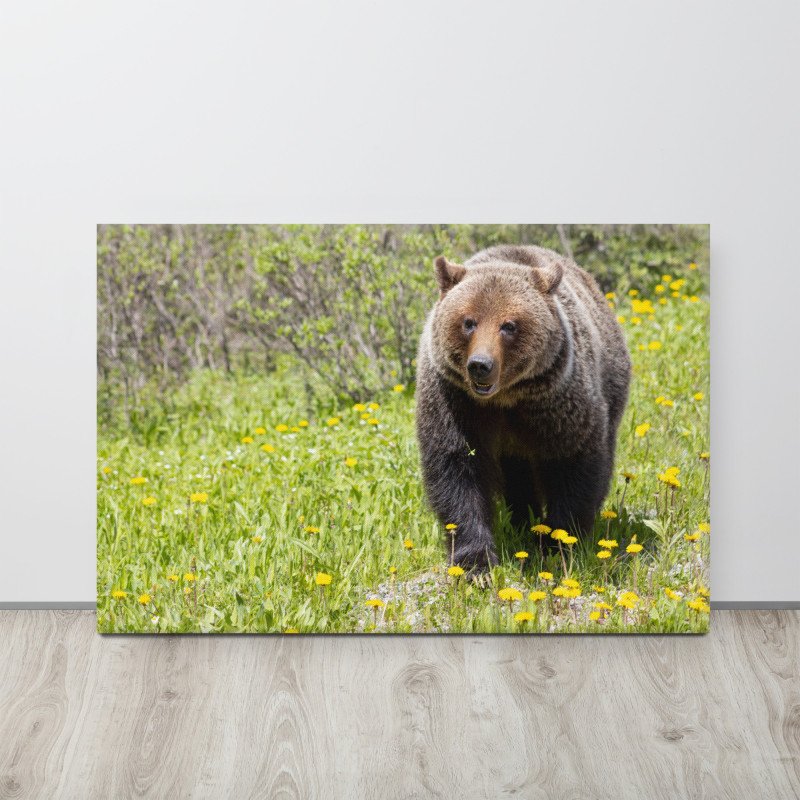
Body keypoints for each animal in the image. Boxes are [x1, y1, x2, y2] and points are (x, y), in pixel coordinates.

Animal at [415, 244, 631, 570]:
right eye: (468, 322)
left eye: (509, 325)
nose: (480, 365)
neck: (505, 398)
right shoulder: (456, 401)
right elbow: (457, 469)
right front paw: (475, 560)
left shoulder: (557, 404)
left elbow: (573, 464)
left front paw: (558, 543)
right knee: (517, 477)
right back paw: (522, 519)